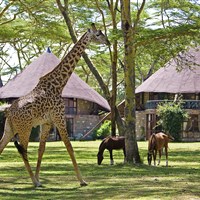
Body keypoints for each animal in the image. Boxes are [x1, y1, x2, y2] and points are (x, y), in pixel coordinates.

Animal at [0, 23, 109, 188]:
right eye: (98, 34)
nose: (107, 42)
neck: (59, 84)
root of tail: (8, 111)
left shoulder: (47, 122)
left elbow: (41, 149)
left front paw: (38, 177)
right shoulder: (59, 118)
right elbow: (69, 147)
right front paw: (82, 180)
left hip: (9, 129)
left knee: (2, 147)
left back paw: (34, 181)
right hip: (24, 128)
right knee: (23, 151)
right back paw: (34, 182)